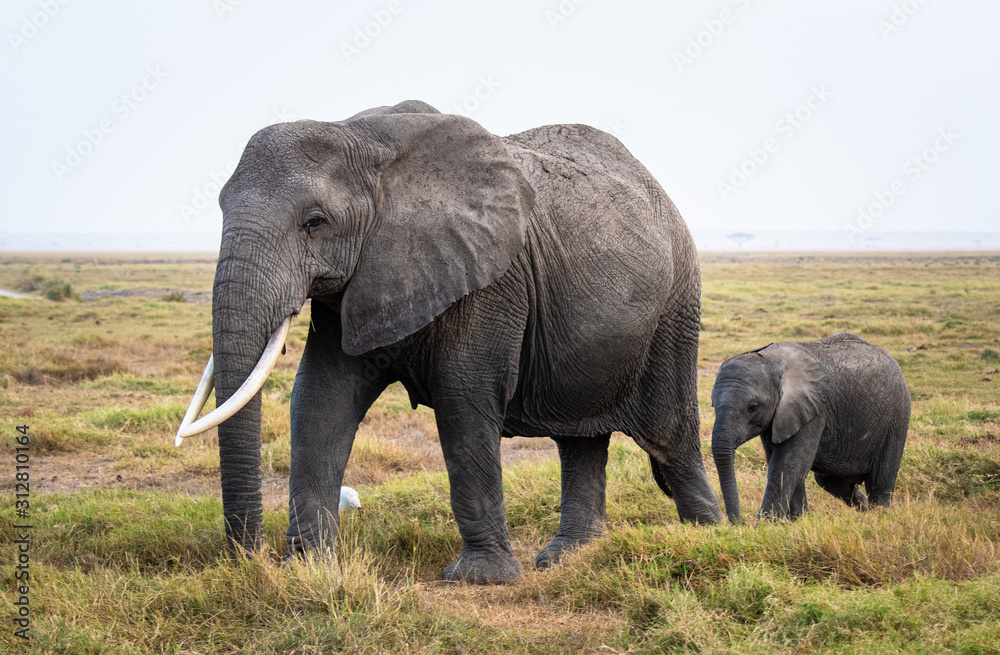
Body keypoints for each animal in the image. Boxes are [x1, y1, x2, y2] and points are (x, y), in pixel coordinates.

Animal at [175, 100, 722, 584]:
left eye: (315, 222)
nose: (250, 561)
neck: (363, 137)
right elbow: (320, 398)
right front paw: (309, 570)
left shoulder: (491, 278)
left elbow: (462, 395)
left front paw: (479, 579)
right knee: (581, 439)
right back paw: (566, 558)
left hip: (675, 308)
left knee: (671, 434)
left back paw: (712, 536)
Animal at [710, 333, 910, 523]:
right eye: (713, 405)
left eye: (752, 407)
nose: (738, 523)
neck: (772, 360)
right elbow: (788, 466)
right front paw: (799, 521)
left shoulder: (813, 411)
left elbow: (787, 465)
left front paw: (765, 526)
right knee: (832, 482)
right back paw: (866, 512)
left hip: (896, 416)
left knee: (880, 481)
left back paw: (879, 516)